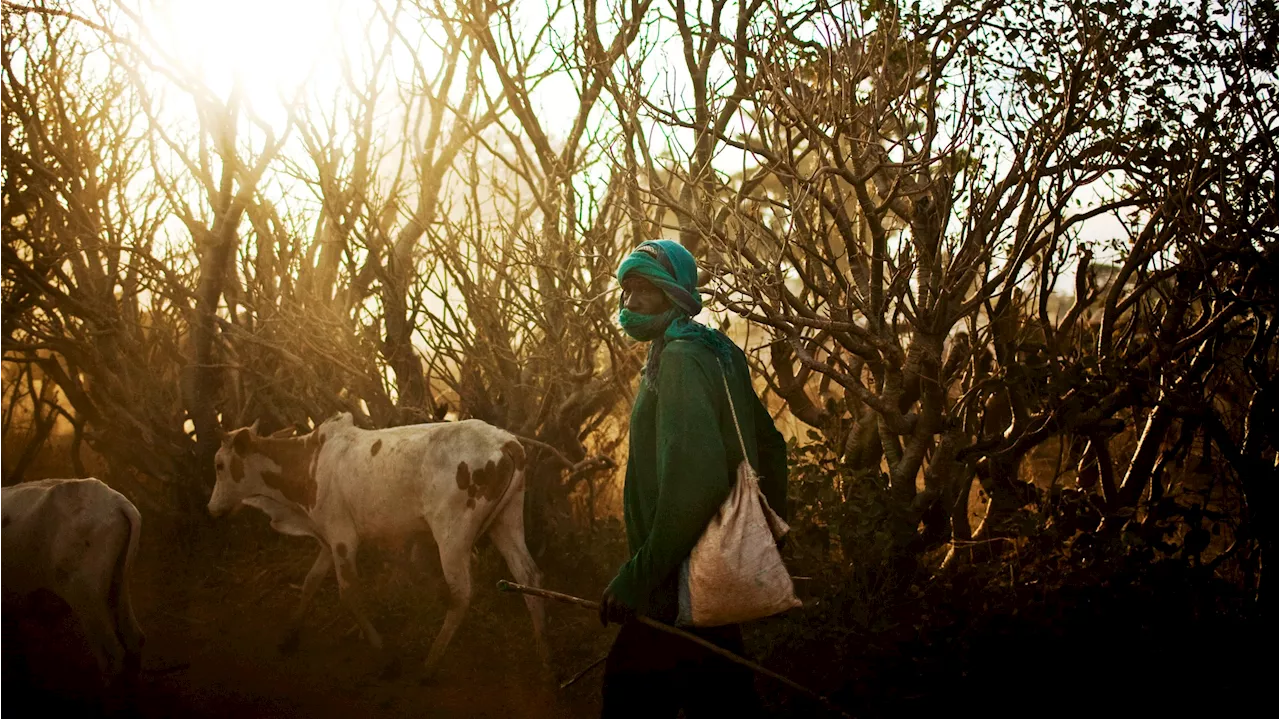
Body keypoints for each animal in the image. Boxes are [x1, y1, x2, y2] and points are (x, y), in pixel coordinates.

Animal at [208, 411, 545, 675]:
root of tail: (506, 442)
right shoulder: (328, 539)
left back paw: (430, 664)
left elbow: (348, 594)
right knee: (529, 579)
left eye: (219, 465)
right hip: (507, 521)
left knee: (461, 594)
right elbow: (310, 582)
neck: (308, 465)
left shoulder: (343, 538)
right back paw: (546, 663)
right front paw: (289, 636)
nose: (212, 509)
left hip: (452, 535)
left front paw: (385, 656)